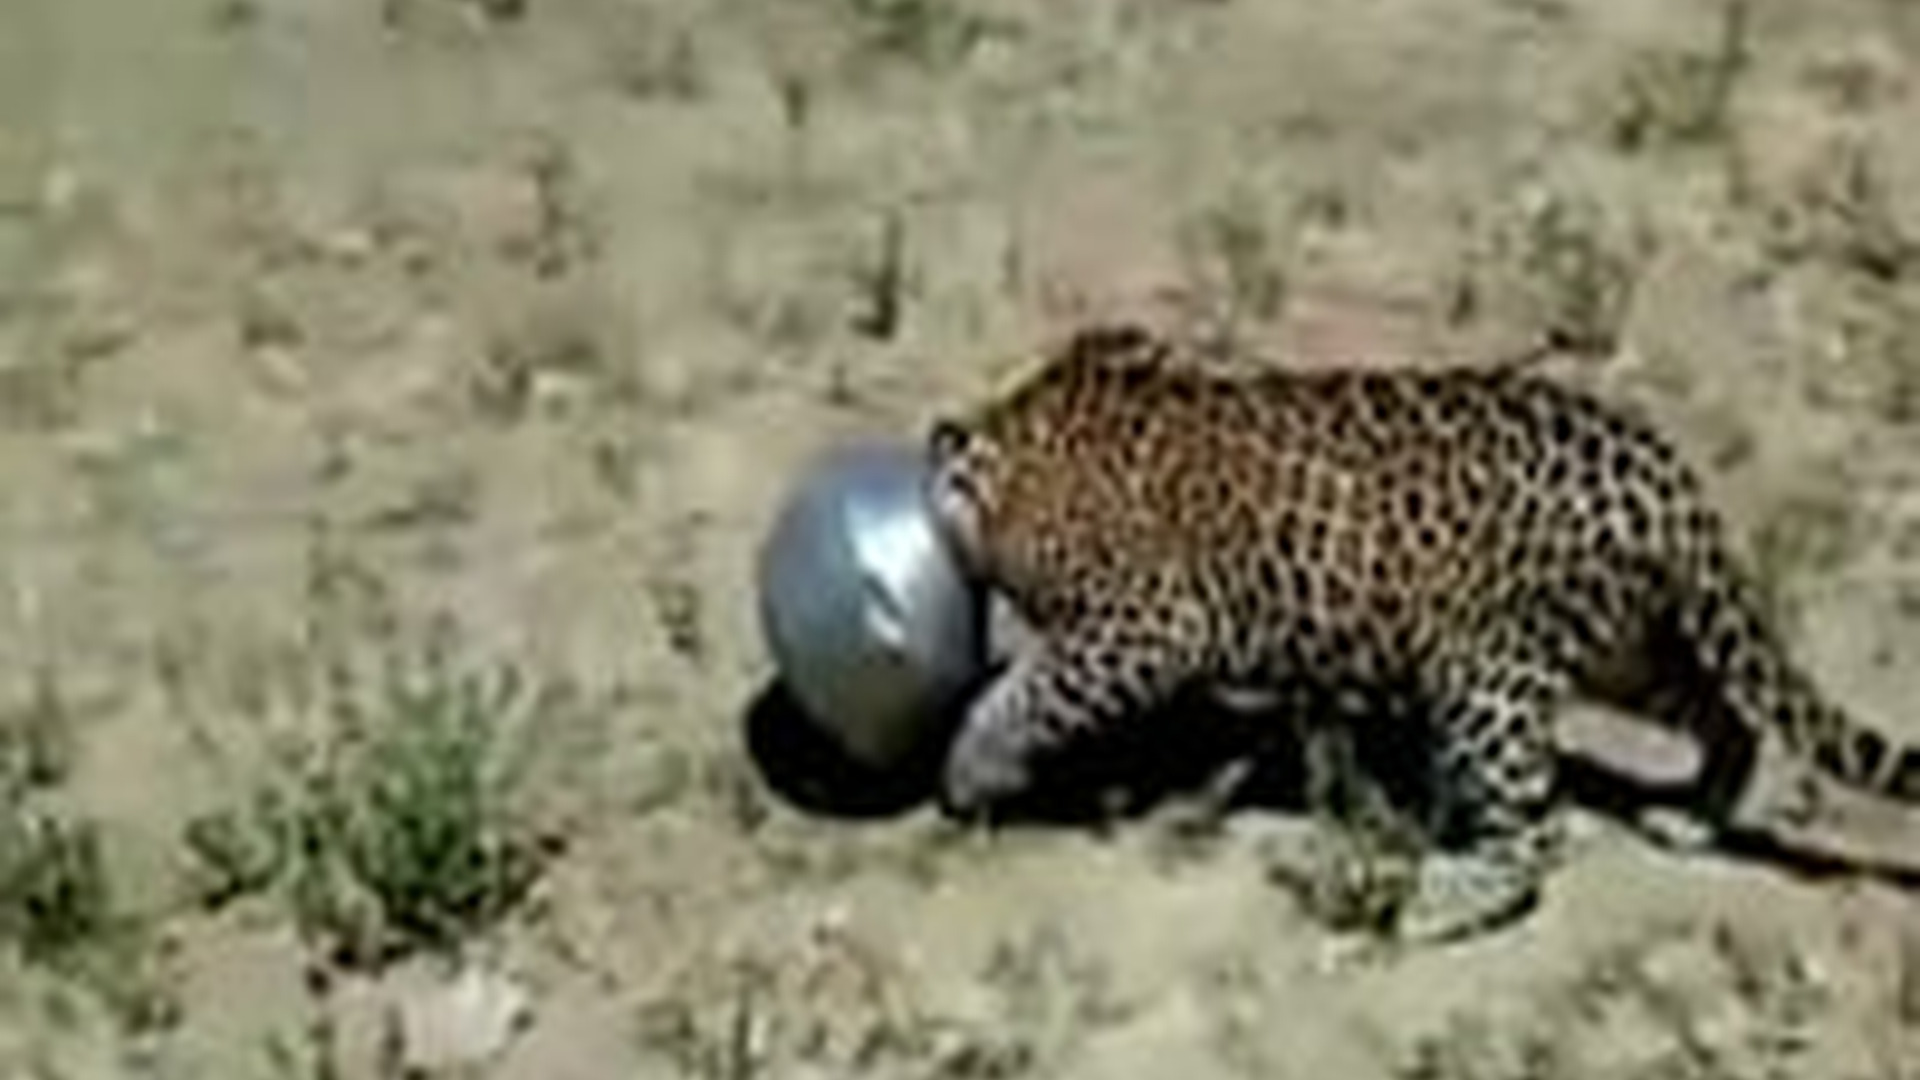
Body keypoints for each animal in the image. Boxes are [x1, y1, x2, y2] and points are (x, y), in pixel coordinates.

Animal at [921, 321, 1920, 943]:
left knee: (1538, 835)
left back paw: (1437, 902)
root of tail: (1665, 474)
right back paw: (1693, 819)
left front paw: (972, 766)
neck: (1013, 451)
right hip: (1627, 644)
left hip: (1487, 674)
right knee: (1728, 715)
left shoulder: (1148, 621)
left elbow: (1030, 691)